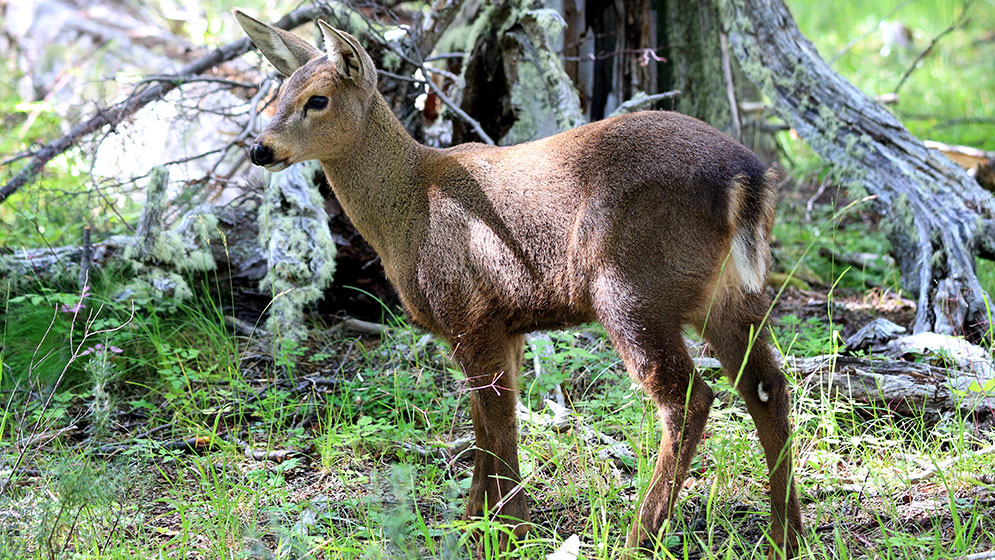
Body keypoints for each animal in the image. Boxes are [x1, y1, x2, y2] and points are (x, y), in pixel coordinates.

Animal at [237, 10, 804, 556]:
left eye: (318, 100)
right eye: (279, 92)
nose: (260, 150)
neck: (409, 214)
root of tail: (748, 177)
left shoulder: (468, 311)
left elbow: (499, 423)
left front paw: (513, 531)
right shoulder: (501, 324)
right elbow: (483, 425)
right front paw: (474, 524)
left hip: (630, 288)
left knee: (688, 400)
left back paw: (638, 537)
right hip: (729, 293)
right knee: (768, 387)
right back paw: (786, 536)